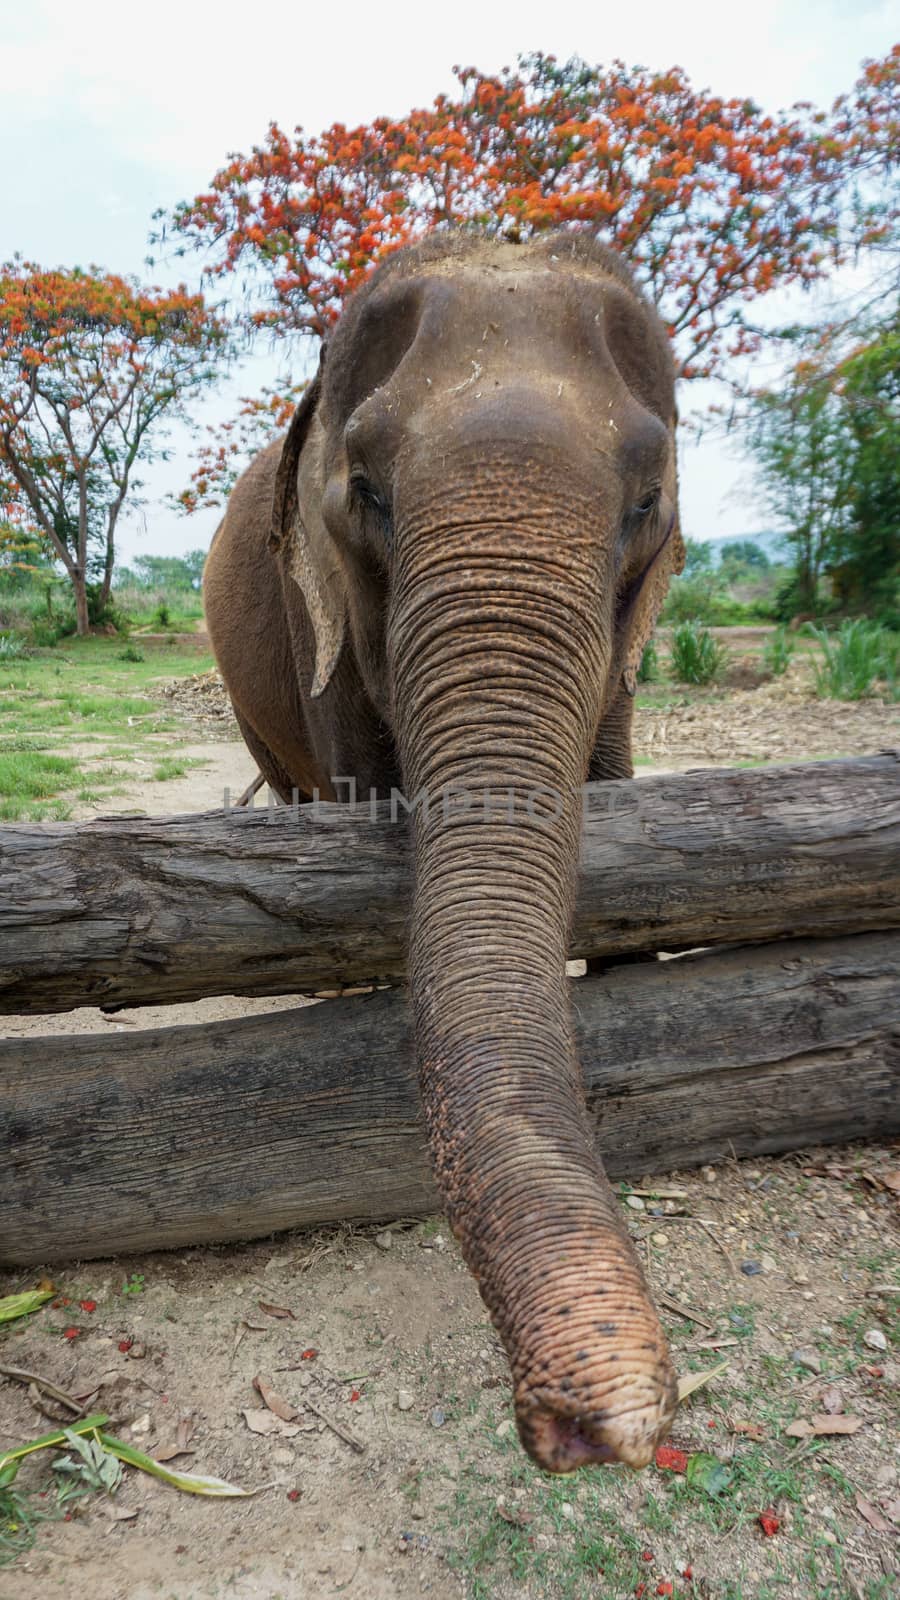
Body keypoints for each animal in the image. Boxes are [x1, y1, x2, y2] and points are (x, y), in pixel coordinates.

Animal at [201, 228, 679, 1472]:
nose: (592, 1427)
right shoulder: (315, 611)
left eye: (646, 501)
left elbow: (617, 790)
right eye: (365, 490)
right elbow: (359, 781)